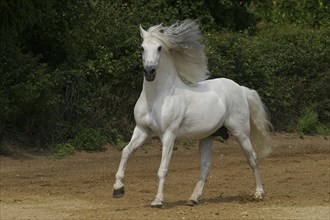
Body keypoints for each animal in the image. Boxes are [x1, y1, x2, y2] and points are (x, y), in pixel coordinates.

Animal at [112, 19, 272, 208]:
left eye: (159, 48)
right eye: (142, 47)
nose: (150, 71)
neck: (158, 97)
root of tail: (240, 89)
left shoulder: (168, 135)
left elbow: (162, 169)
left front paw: (157, 201)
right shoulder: (142, 130)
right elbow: (125, 152)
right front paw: (118, 189)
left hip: (241, 133)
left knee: (252, 158)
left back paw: (258, 193)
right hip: (208, 137)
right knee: (205, 166)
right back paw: (193, 198)